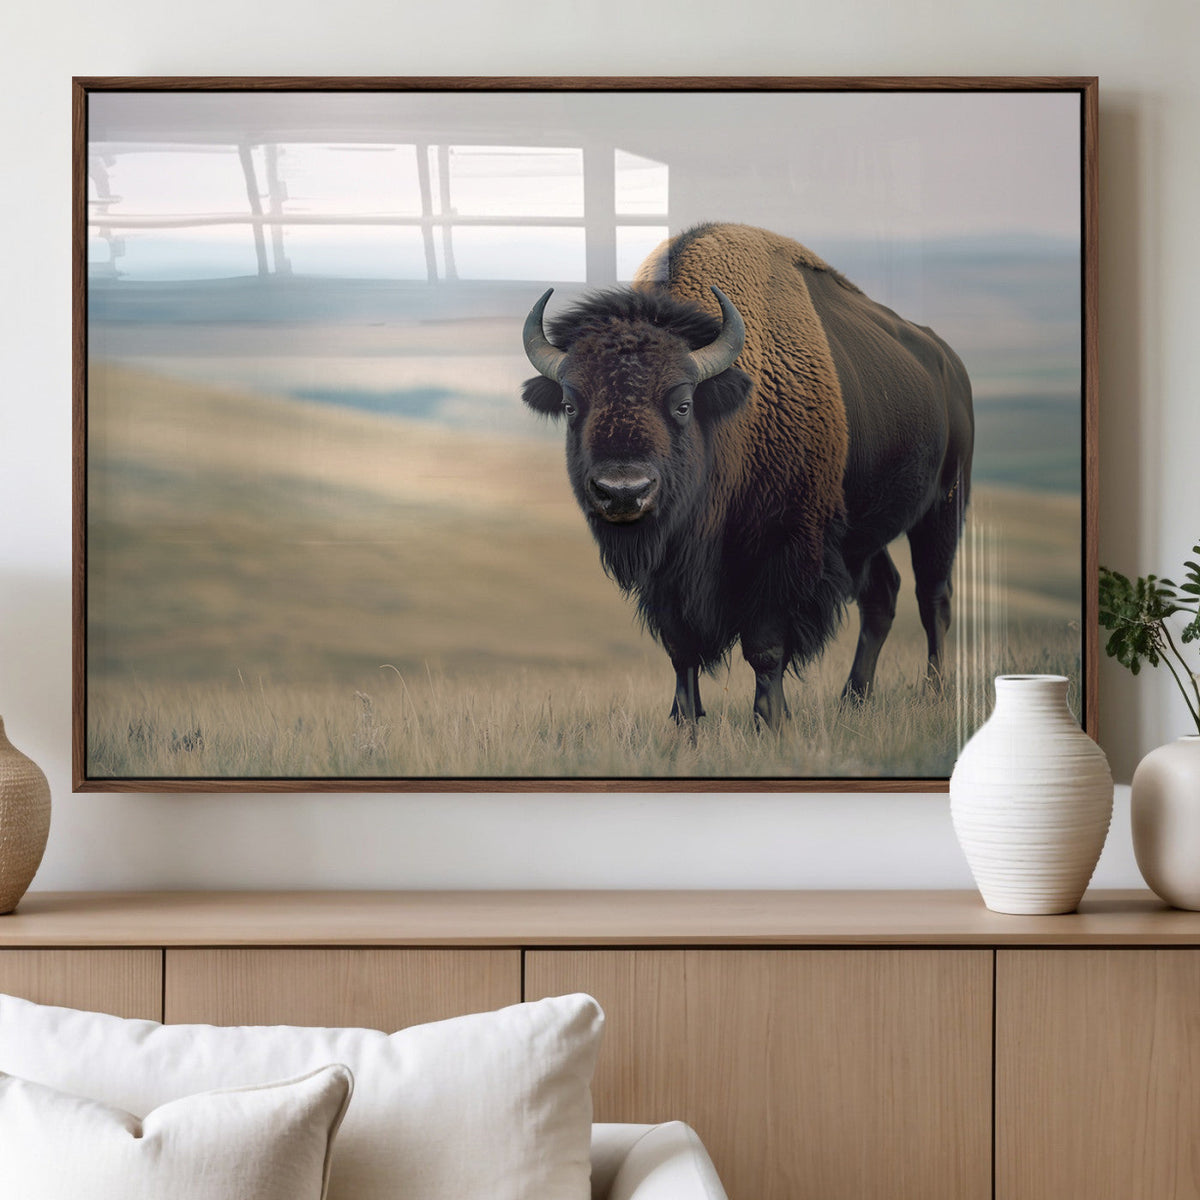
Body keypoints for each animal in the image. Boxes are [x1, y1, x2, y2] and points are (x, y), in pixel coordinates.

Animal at [521, 223, 973, 731]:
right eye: (570, 405)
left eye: (683, 403)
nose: (623, 492)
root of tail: (949, 364)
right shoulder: (669, 576)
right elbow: (681, 649)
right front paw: (685, 722)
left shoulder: (783, 550)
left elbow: (765, 647)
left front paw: (769, 721)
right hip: (862, 534)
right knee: (882, 595)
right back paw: (853, 698)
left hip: (943, 508)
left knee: (933, 597)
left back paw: (934, 692)